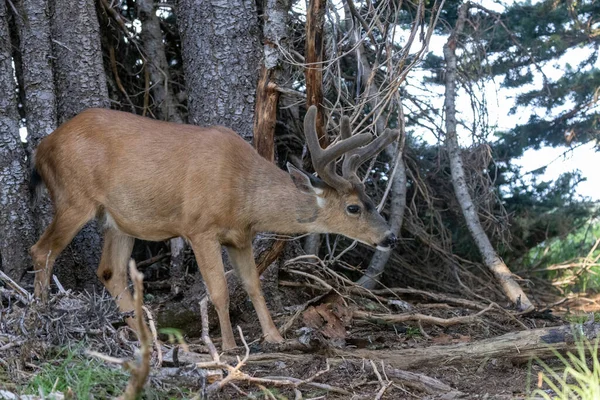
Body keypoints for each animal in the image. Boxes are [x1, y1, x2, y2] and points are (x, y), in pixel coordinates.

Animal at [31, 104, 398, 348]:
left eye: (370, 199)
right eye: (353, 207)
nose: (390, 237)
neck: (244, 195)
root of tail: (40, 148)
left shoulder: (240, 237)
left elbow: (253, 285)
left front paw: (275, 336)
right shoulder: (200, 228)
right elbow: (219, 289)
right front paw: (229, 347)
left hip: (119, 219)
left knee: (110, 271)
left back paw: (147, 338)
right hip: (73, 197)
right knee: (42, 250)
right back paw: (41, 316)